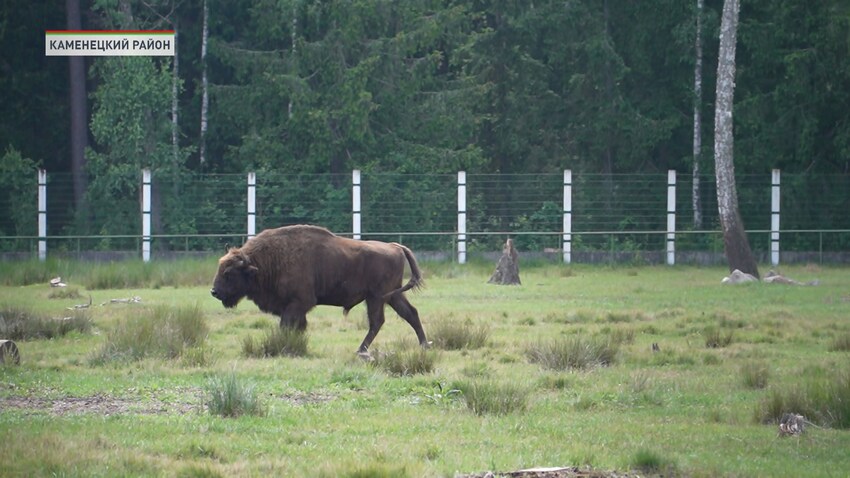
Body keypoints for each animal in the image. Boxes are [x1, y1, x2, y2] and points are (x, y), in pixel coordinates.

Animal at [210, 225, 428, 354]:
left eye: (229, 273)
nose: (214, 292)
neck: (267, 261)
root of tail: (395, 246)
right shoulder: (296, 308)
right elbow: (298, 326)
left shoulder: (297, 304)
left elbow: (286, 325)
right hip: (392, 296)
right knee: (410, 313)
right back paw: (424, 345)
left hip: (377, 297)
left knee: (377, 321)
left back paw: (361, 350)